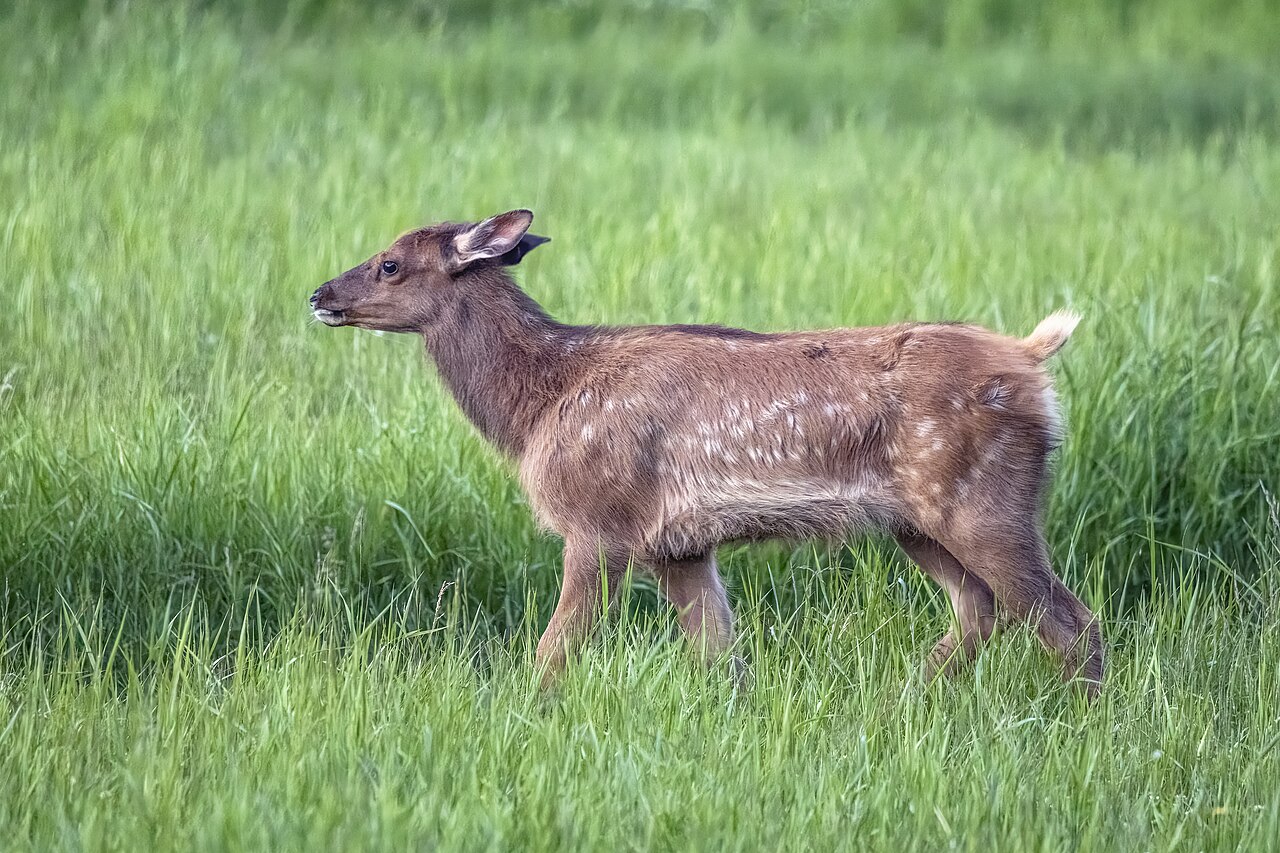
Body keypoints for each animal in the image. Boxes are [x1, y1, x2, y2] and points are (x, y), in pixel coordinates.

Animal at [310, 209, 1104, 698]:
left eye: (389, 264)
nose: (319, 294)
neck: (538, 403)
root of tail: (1034, 359)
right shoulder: (679, 545)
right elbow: (722, 657)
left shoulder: (598, 522)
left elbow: (556, 649)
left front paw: (526, 713)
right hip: (918, 521)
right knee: (980, 609)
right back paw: (901, 704)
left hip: (984, 499)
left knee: (1071, 621)